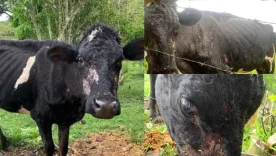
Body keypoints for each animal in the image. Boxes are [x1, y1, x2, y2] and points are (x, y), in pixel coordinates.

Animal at [0, 23, 143, 156]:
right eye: (80, 59)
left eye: (119, 61)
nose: (105, 106)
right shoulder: (40, 117)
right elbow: (49, 148)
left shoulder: (66, 120)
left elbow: (63, 147)